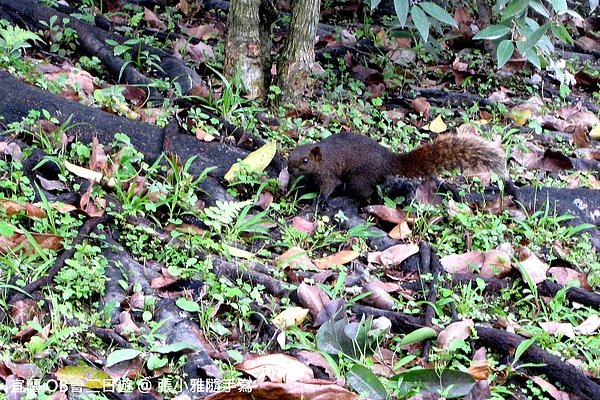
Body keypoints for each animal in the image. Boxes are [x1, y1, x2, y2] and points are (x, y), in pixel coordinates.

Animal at [288, 133, 504, 205]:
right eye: (289, 157)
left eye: (305, 160)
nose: (290, 171)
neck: (322, 159)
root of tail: (388, 161)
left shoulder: (329, 173)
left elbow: (329, 185)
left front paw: (320, 200)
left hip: (359, 179)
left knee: (368, 192)